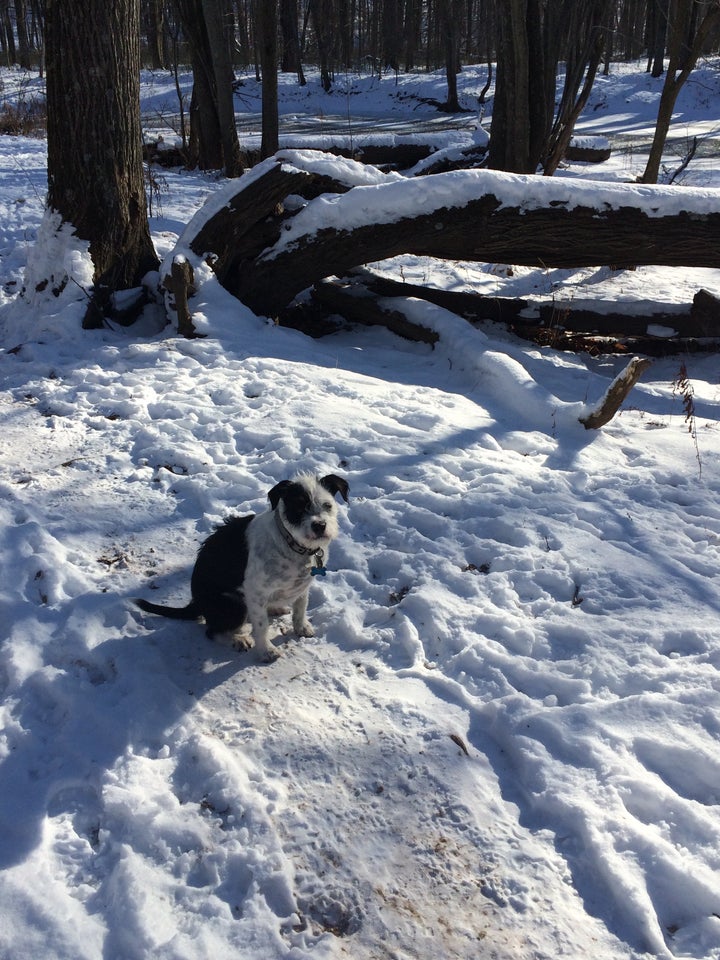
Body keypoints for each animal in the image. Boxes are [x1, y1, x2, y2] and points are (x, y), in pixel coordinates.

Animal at [136, 472, 350, 660]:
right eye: (298, 508)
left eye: (327, 505)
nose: (319, 526)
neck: (292, 545)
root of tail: (197, 602)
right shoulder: (255, 592)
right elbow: (261, 626)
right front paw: (266, 651)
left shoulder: (302, 585)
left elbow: (300, 608)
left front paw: (301, 627)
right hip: (235, 604)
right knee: (213, 632)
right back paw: (238, 640)